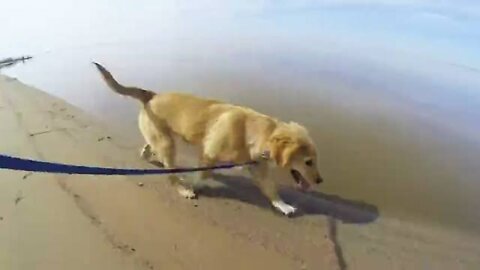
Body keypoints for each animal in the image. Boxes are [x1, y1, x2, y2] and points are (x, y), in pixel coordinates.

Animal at [93, 62, 322, 216]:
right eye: (308, 162)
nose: (320, 181)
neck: (253, 132)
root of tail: (152, 95)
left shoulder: (258, 168)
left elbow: (271, 188)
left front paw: (283, 205)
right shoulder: (209, 153)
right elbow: (204, 174)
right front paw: (193, 184)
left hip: (160, 135)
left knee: (150, 147)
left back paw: (149, 156)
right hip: (168, 144)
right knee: (171, 173)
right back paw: (182, 188)